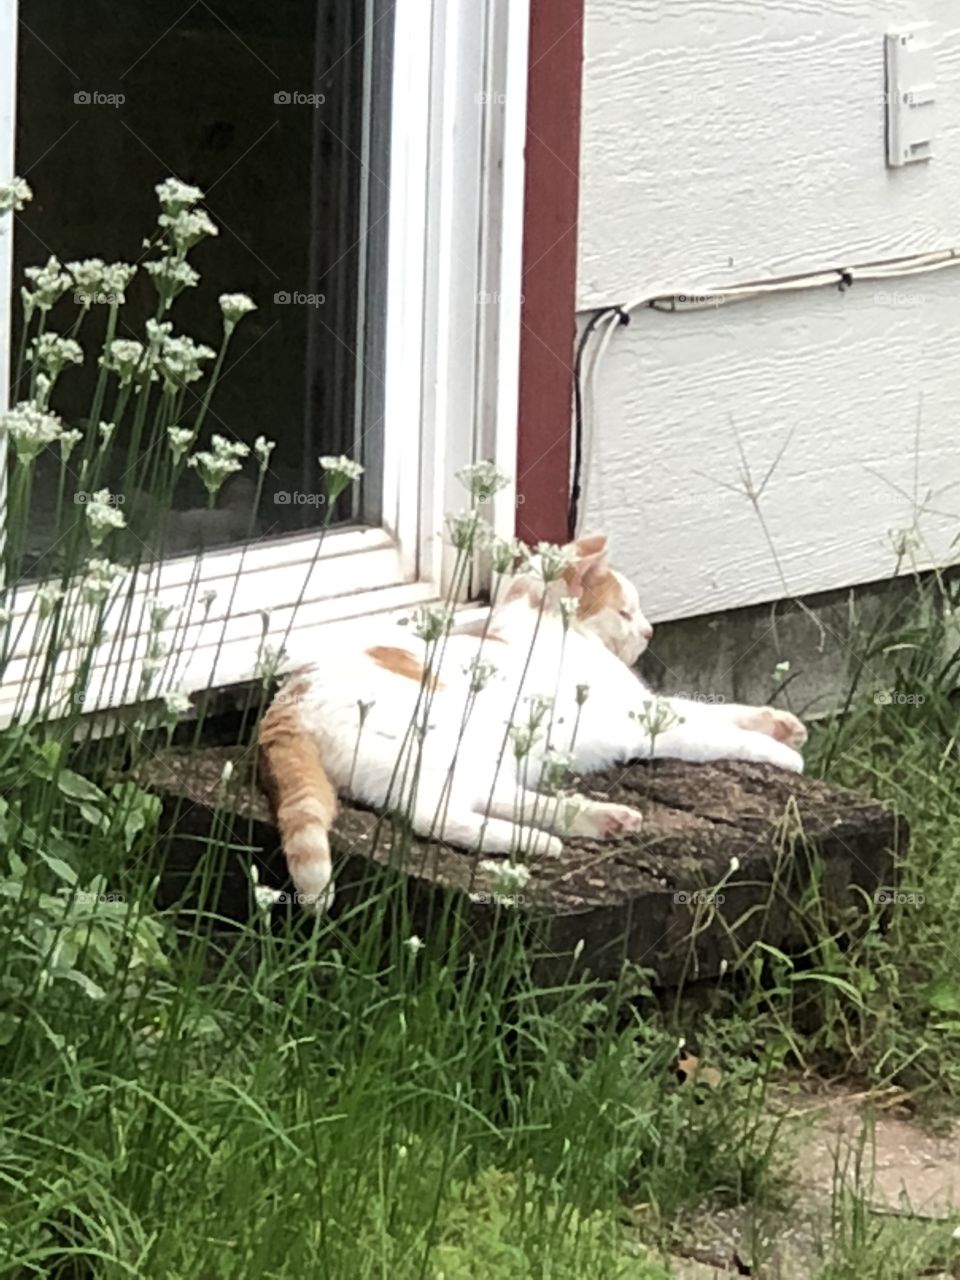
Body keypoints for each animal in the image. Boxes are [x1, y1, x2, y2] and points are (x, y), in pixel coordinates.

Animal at [259, 529, 808, 911]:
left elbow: (717, 709)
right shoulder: (643, 724)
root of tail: (286, 702)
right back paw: (546, 842)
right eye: (626, 613)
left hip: (483, 761)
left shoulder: (649, 706)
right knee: (439, 817)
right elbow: (714, 733)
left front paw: (782, 724)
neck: (536, 624)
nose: (649, 632)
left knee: (496, 801)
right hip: (448, 747)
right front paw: (781, 753)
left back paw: (596, 819)